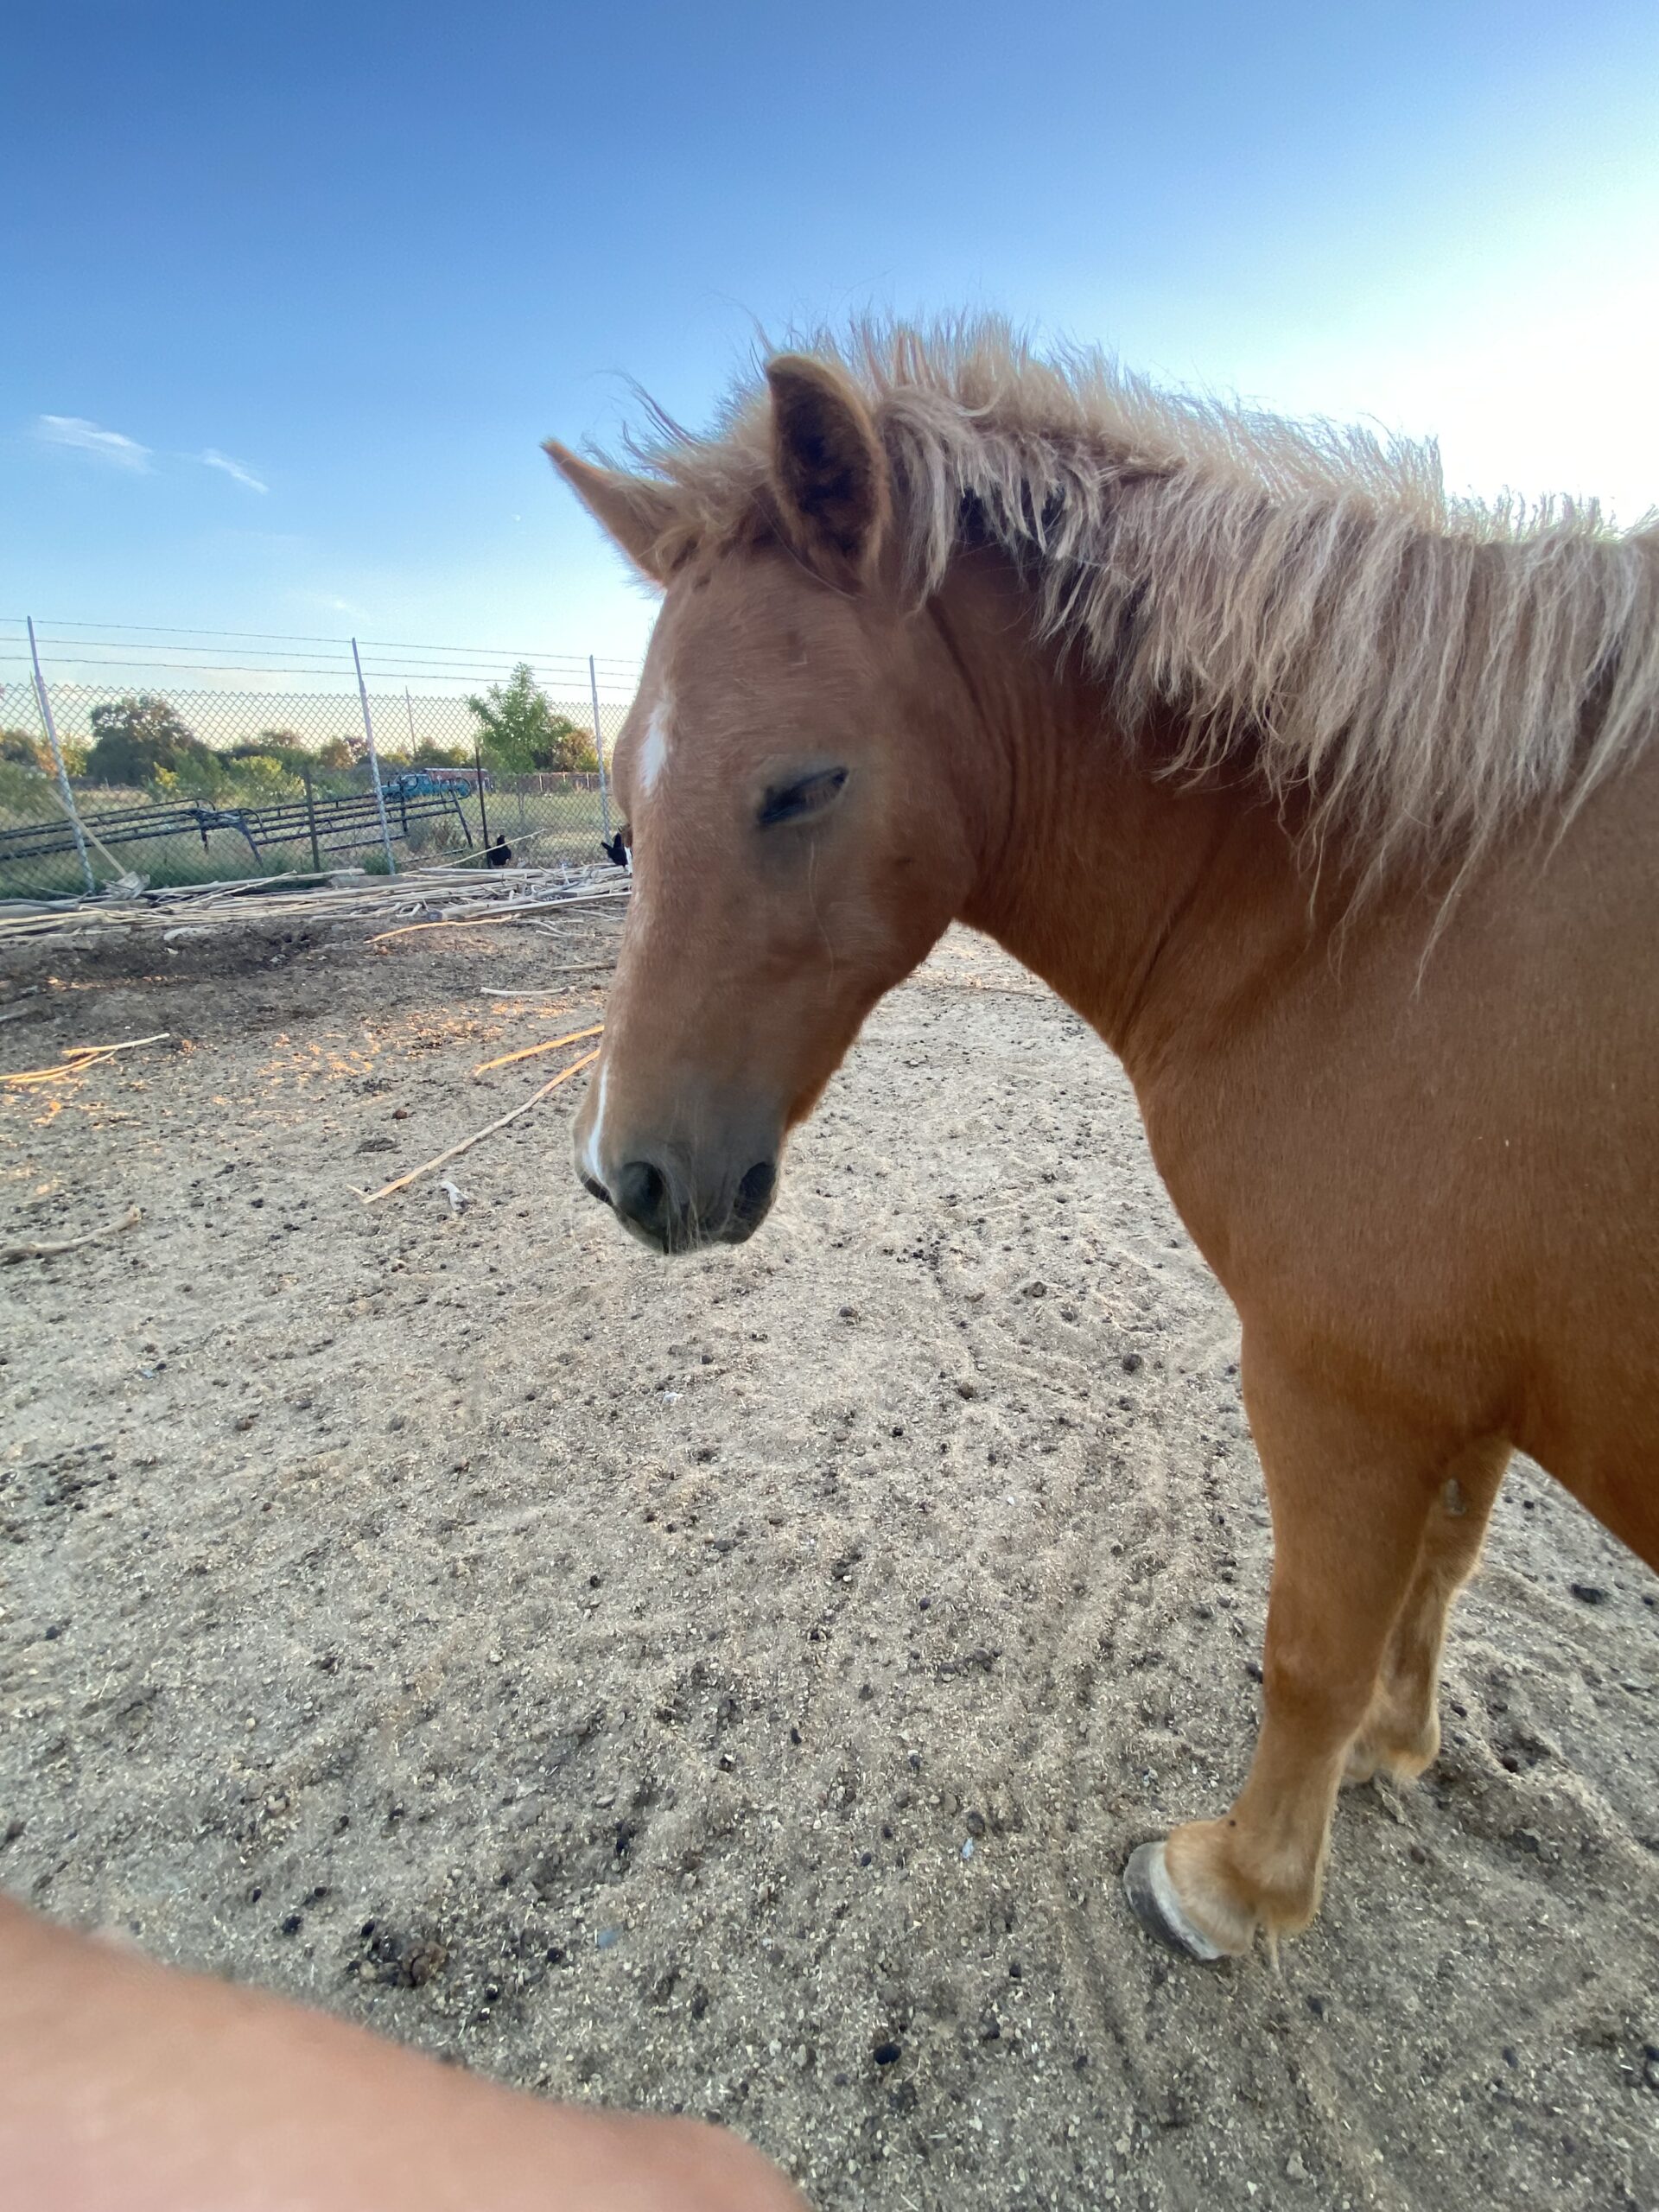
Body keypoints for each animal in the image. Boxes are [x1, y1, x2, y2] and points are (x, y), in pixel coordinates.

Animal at [543, 320, 1658, 1963]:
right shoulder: (1461, 1389)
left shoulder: (1344, 1384)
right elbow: (1435, 1580)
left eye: (802, 784)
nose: (623, 1175)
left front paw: (1238, 1888)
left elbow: (1313, 1644)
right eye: (624, 798)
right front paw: (1395, 1750)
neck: (1383, 901)